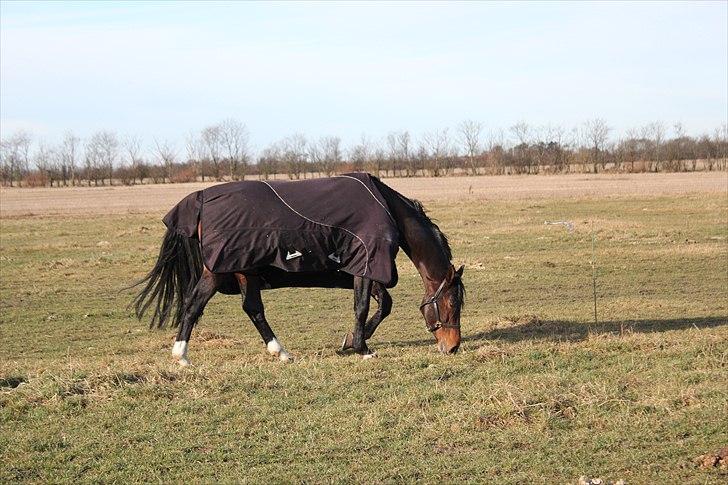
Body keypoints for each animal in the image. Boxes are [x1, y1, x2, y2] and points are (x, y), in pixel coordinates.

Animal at [131, 174, 464, 364]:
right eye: (452, 303)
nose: (453, 347)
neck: (387, 210)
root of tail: (200, 199)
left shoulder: (361, 270)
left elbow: (384, 305)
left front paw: (351, 342)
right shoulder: (366, 266)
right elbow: (364, 307)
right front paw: (362, 348)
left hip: (242, 270)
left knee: (248, 309)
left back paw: (279, 352)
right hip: (222, 269)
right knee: (196, 304)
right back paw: (183, 355)